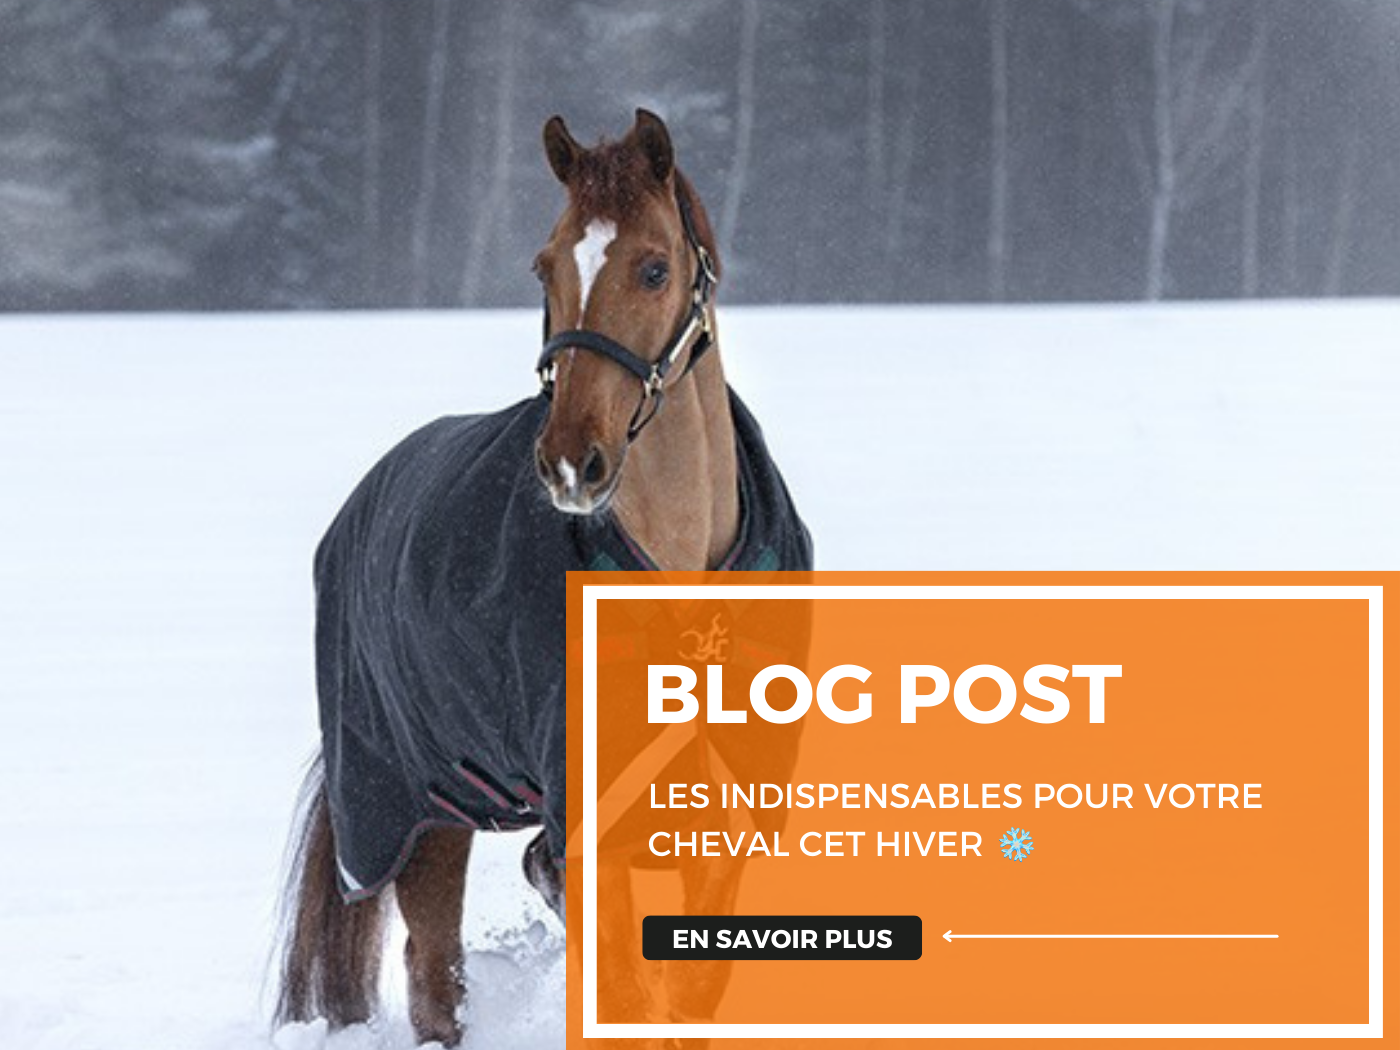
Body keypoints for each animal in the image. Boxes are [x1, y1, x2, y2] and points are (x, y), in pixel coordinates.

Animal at [274, 109, 812, 1046]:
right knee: (433, 977)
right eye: (544, 264)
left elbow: (690, 984)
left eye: (654, 266)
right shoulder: (582, 818)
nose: (569, 462)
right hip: (419, 812)